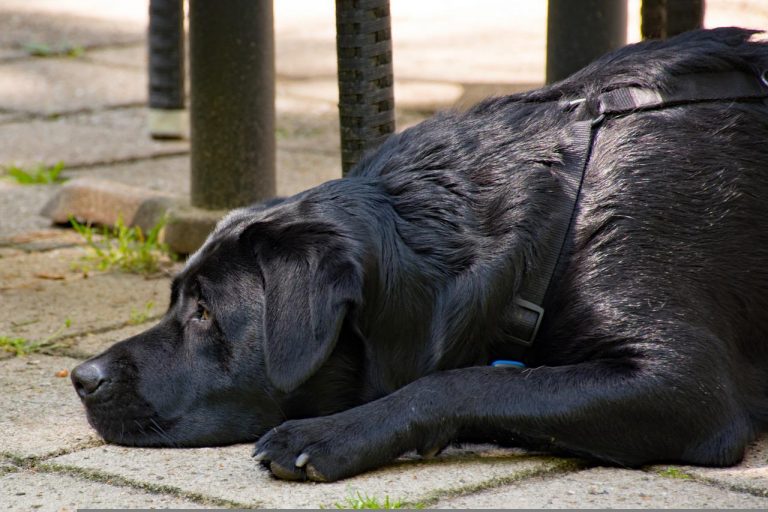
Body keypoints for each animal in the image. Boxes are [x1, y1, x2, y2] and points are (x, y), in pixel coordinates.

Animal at [70, 28, 768, 482]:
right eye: (176, 301)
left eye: (206, 312)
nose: (81, 377)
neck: (556, 215)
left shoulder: (685, 385)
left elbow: (467, 381)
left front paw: (334, 434)